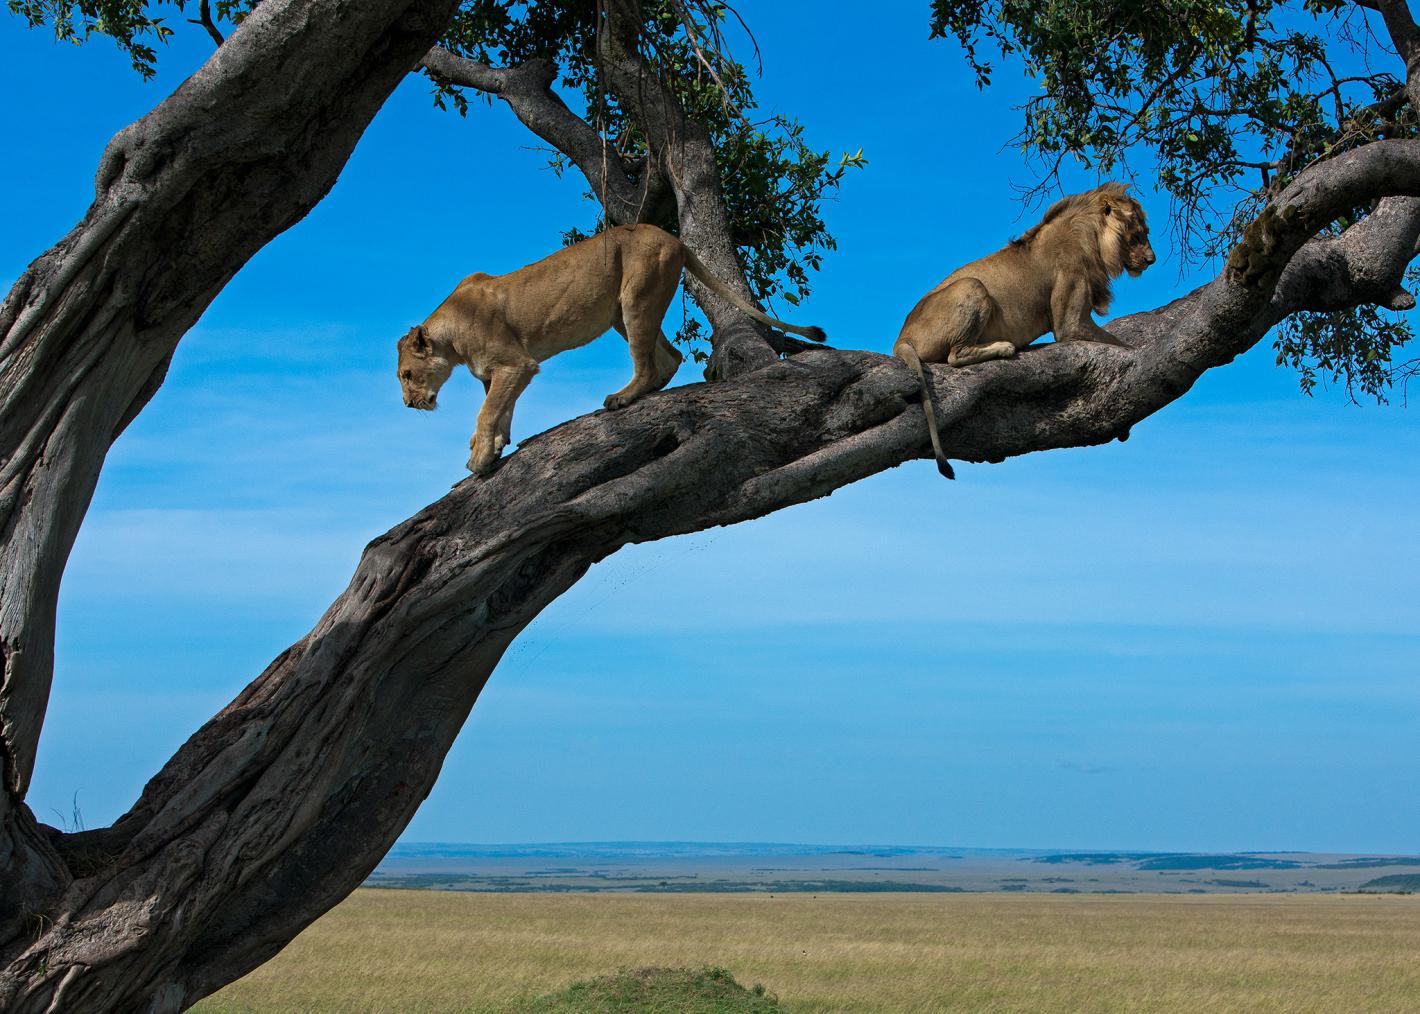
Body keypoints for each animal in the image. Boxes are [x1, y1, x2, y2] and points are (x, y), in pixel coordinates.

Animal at [394, 221, 829, 474]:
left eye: (407, 375)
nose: (408, 404)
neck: (451, 339)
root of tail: (674, 238)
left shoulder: (516, 364)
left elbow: (487, 412)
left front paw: (480, 459)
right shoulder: (497, 373)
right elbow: (501, 410)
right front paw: (496, 447)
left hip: (636, 296)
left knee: (649, 363)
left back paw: (623, 397)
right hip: (625, 310)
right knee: (669, 358)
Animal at [897, 183, 1153, 477]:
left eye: (1145, 233)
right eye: (1137, 235)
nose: (1152, 259)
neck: (1093, 237)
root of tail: (902, 337)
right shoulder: (1070, 323)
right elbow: (1122, 343)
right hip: (972, 285)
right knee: (955, 355)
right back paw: (1004, 347)